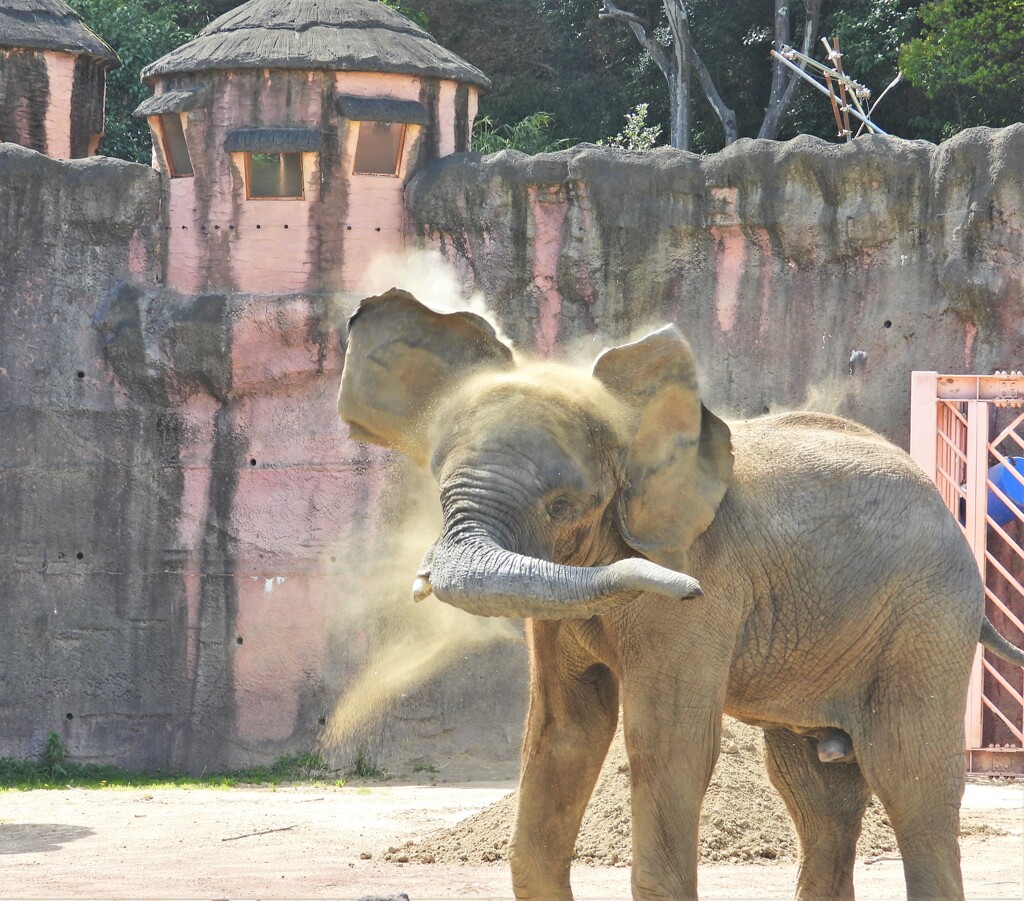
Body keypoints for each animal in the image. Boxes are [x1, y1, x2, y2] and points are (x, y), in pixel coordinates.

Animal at [337, 290, 1024, 901]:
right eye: (439, 483)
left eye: (563, 504)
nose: (686, 590)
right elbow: (564, 732)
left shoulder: (706, 577)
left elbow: (666, 740)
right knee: (815, 793)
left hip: (929, 616)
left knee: (910, 778)